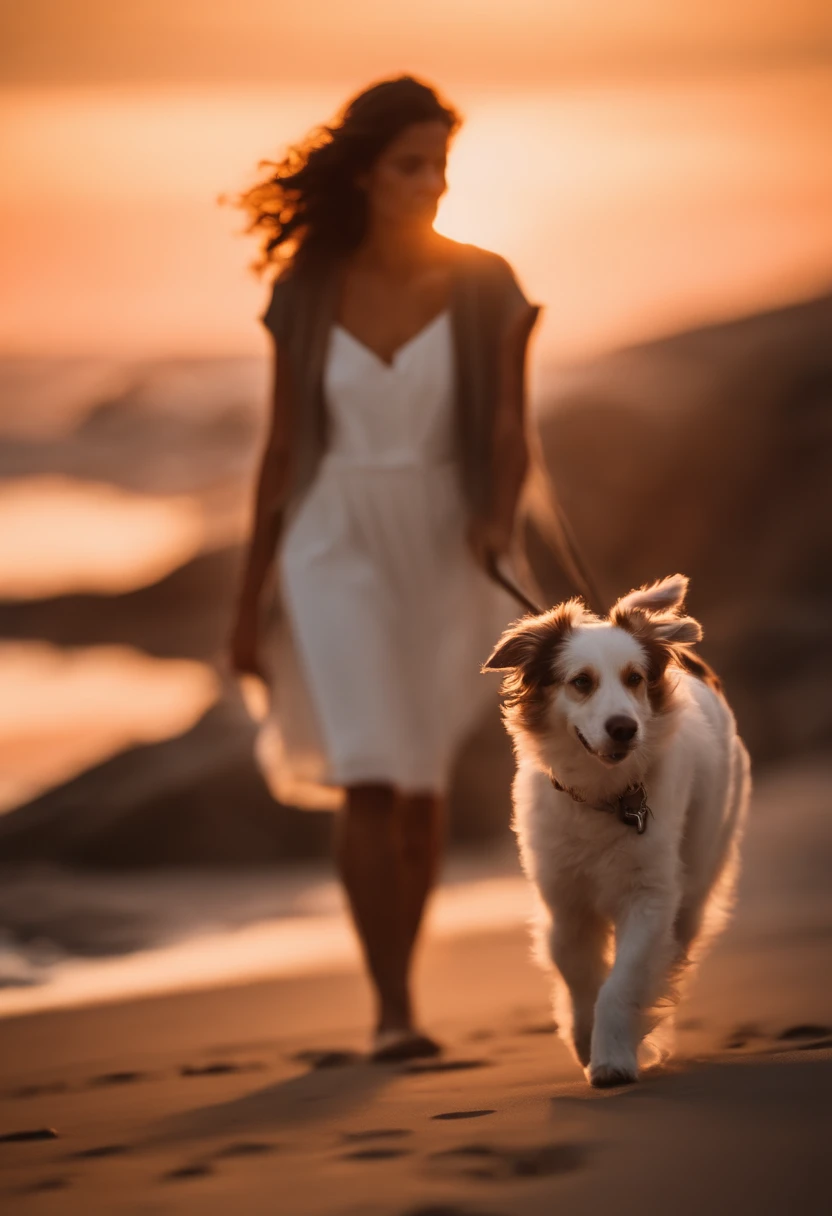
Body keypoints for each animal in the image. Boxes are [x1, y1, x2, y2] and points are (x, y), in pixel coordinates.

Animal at [484, 573, 749, 1089]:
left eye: (634, 678)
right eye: (581, 682)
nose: (624, 728)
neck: (603, 796)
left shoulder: (650, 896)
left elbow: (621, 981)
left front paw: (614, 1056)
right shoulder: (564, 903)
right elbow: (578, 972)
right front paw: (584, 1038)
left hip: (699, 873)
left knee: (679, 938)